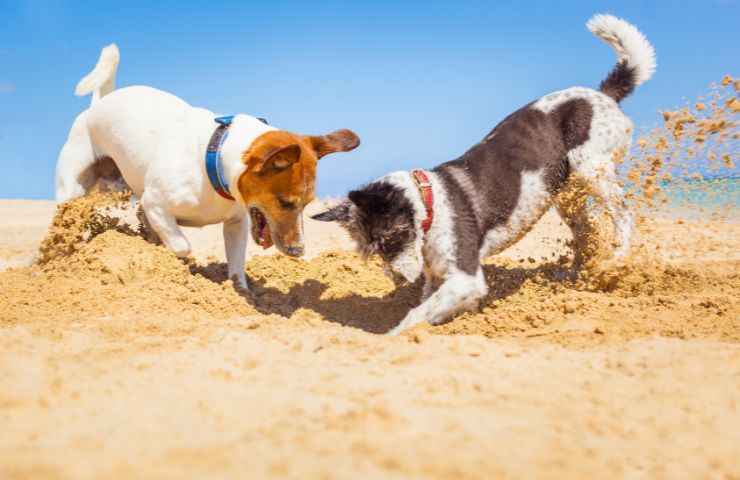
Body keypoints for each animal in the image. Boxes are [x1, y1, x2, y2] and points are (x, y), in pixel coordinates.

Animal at [56, 44, 360, 288]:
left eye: (308, 204)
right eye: (285, 203)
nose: (299, 251)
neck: (214, 162)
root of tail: (98, 105)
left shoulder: (237, 223)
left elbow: (236, 265)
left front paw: (241, 292)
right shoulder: (155, 203)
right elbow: (181, 245)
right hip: (72, 190)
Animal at [312, 13, 652, 332]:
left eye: (390, 239)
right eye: (370, 250)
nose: (398, 280)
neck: (430, 204)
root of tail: (603, 94)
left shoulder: (466, 278)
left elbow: (414, 315)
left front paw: (393, 336)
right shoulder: (438, 279)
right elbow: (429, 306)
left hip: (591, 167)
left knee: (623, 215)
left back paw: (615, 261)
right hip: (565, 193)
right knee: (586, 231)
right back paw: (575, 276)